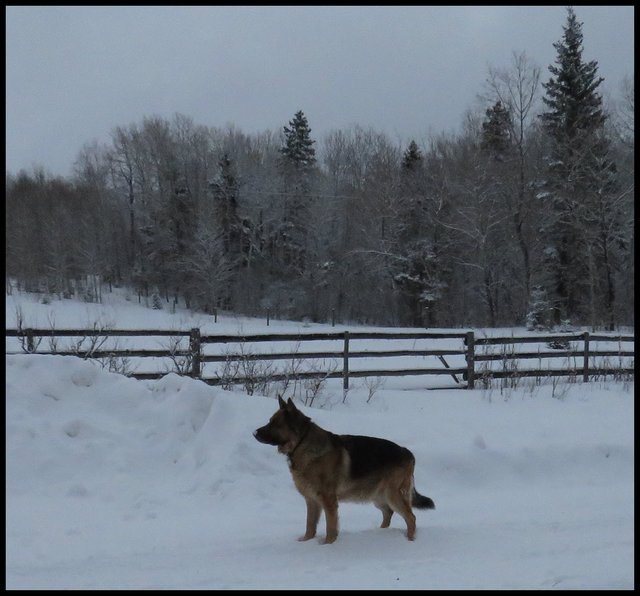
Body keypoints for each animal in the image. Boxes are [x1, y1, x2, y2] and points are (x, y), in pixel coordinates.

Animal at [252, 398, 432, 544]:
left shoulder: (329, 501)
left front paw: (328, 545)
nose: (254, 433)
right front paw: (306, 542)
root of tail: (407, 452)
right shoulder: (312, 501)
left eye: (274, 424)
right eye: (270, 421)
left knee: (411, 517)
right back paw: (380, 532)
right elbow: (310, 525)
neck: (302, 443)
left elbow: (330, 527)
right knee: (388, 512)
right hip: (378, 496)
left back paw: (410, 540)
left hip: (392, 495)